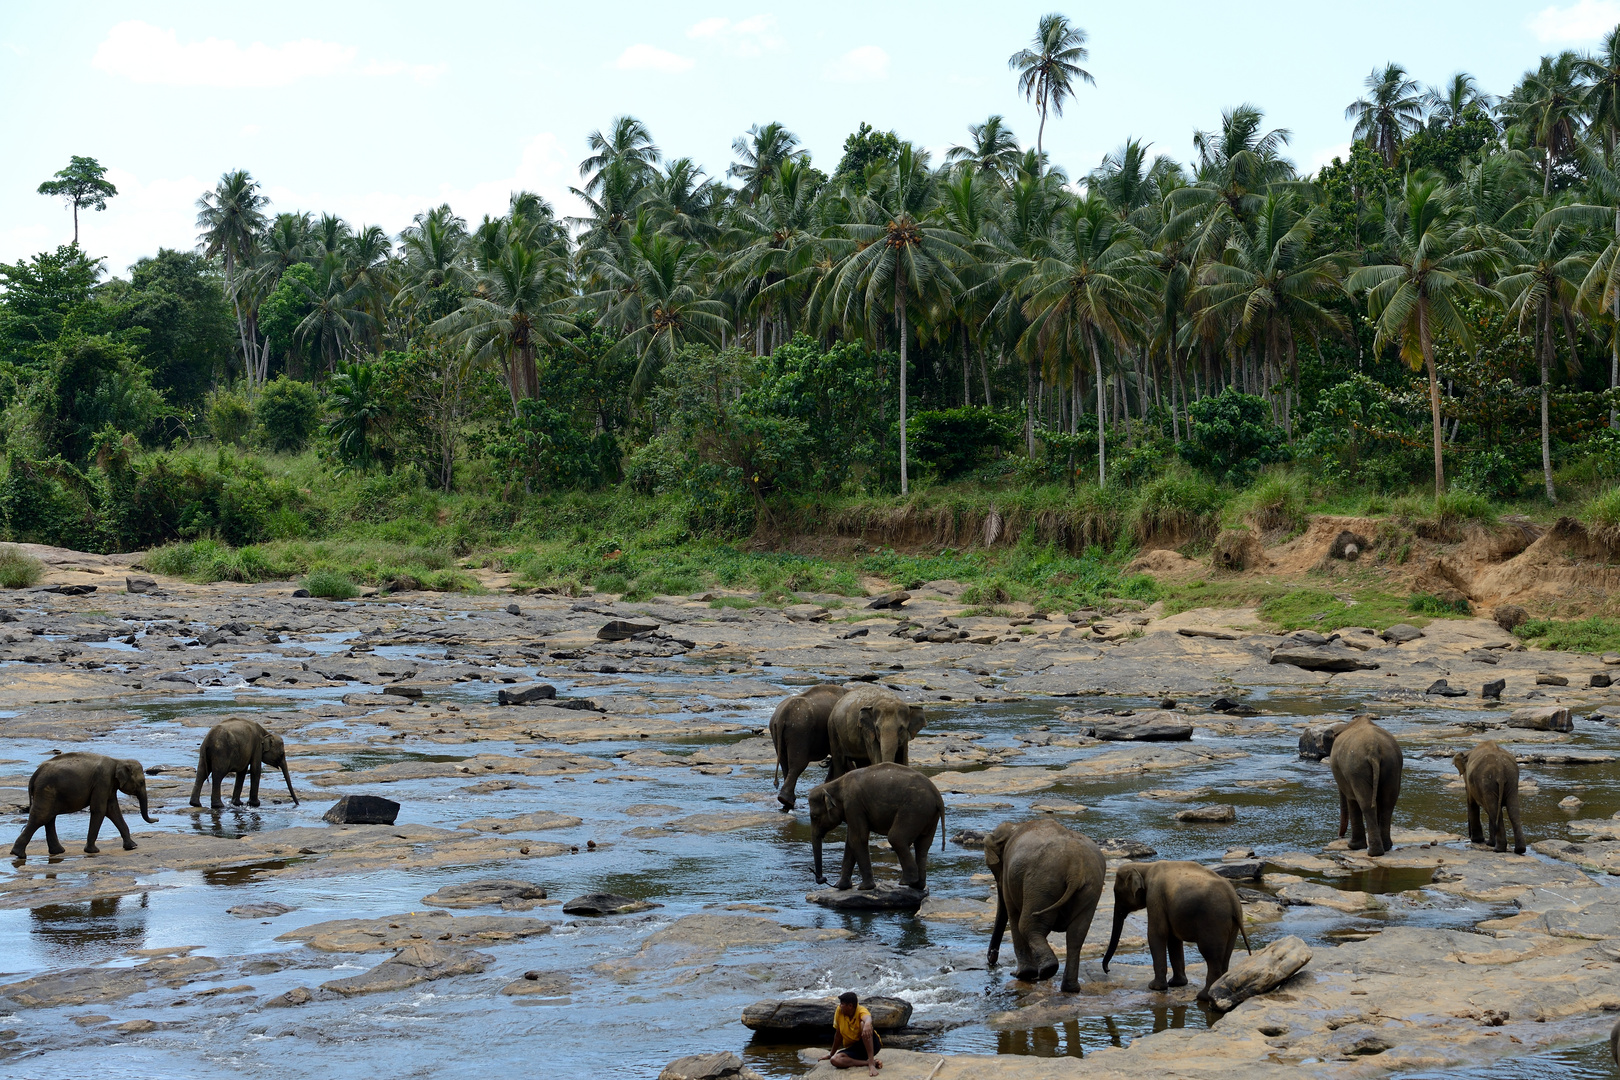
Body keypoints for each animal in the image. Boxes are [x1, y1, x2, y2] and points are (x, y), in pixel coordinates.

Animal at [9, 751, 157, 861]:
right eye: (142, 782)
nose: (157, 820)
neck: (118, 761)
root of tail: (35, 775)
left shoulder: (109, 785)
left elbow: (113, 810)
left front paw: (132, 846)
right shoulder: (102, 781)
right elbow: (100, 810)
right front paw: (93, 851)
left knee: (49, 817)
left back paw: (58, 851)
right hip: (46, 790)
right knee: (42, 817)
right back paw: (18, 854)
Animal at [978, 822, 1108, 990]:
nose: (991, 959)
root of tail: (1076, 868)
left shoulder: (1008, 874)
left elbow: (1012, 913)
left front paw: (1021, 974)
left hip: (1041, 882)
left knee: (1026, 925)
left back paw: (1044, 972)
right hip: (1090, 887)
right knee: (1076, 935)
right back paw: (1070, 988)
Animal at [1101, 861, 1250, 1003]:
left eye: (1117, 892)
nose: (1108, 970)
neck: (1145, 867)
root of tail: (1234, 899)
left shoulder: (1155, 895)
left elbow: (1157, 933)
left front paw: (1154, 987)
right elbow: (1173, 939)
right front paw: (1177, 983)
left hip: (1213, 921)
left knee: (1210, 955)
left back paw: (1203, 996)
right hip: (1232, 925)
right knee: (1226, 954)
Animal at [1328, 712, 1406, 854]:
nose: (1340, 836)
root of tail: (1373, 748)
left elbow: (1351, 799)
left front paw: (1352, 846)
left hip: (1357, 769)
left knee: (1365, 803)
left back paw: (1374, 852)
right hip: (1392, 766)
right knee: (1388, 803)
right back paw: (1386, 847)